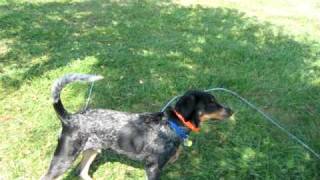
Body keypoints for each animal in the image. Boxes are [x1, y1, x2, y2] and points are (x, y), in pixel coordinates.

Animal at [42, 73, 232, 180]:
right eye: (211, 102)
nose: (231, 110)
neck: (172, 125)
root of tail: (69, 118)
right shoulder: (153, 168)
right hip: (64, 159)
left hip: (92, 150)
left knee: (82, 172)